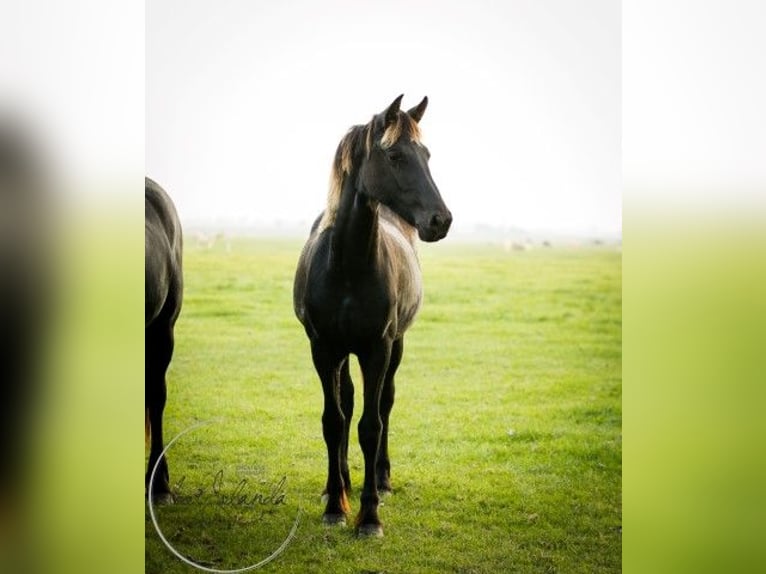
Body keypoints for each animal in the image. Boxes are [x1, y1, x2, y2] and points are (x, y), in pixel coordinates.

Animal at [292, 95, 450, 540]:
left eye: (426, 155)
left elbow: (371, 424)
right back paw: (341, 485)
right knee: (346, 402)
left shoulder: (377, 349)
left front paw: (369, 516)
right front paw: (336, 505)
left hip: (396, 345)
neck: (347, 266)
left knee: (386, 404)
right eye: (395, 155)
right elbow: (334, 421)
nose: (441, 220)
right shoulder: (324, 349)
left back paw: (380, 479)